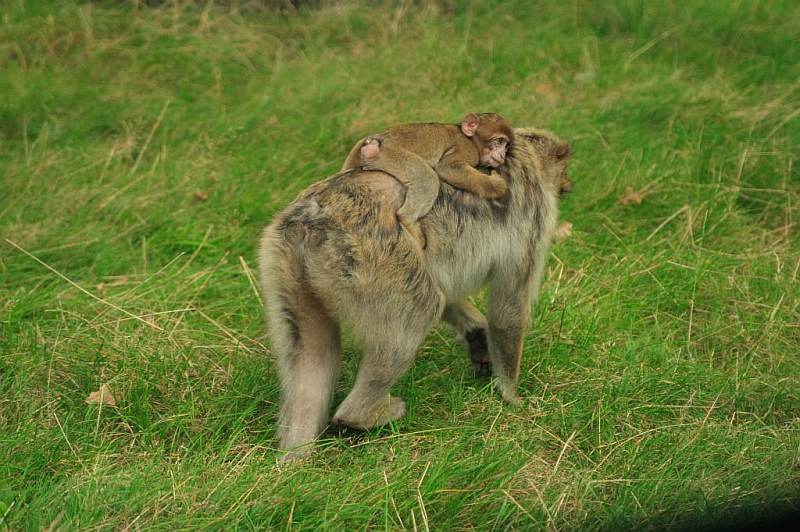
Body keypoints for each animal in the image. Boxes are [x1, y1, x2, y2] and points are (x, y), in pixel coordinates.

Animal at [340, 113, 512, 246]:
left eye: (506, 146)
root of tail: (373, 140)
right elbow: (448, 167)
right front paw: (497, 185)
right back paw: (408, 220)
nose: (502, 155)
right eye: (499, 141)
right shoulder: (466, 149)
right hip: (389, 154)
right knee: (428, 179)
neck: (471, 139)